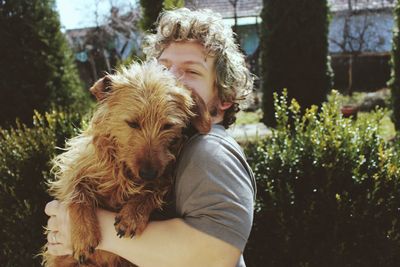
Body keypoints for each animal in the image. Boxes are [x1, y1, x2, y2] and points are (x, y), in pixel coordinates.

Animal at [43, 60, 212, 267]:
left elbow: (154, 188)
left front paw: (134, 214)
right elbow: (77, 191)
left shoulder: (164, 174)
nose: (148, 173)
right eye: (132, 123)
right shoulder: (75, 167)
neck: (122, 171)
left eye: (168, 126)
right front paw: (83, 234)